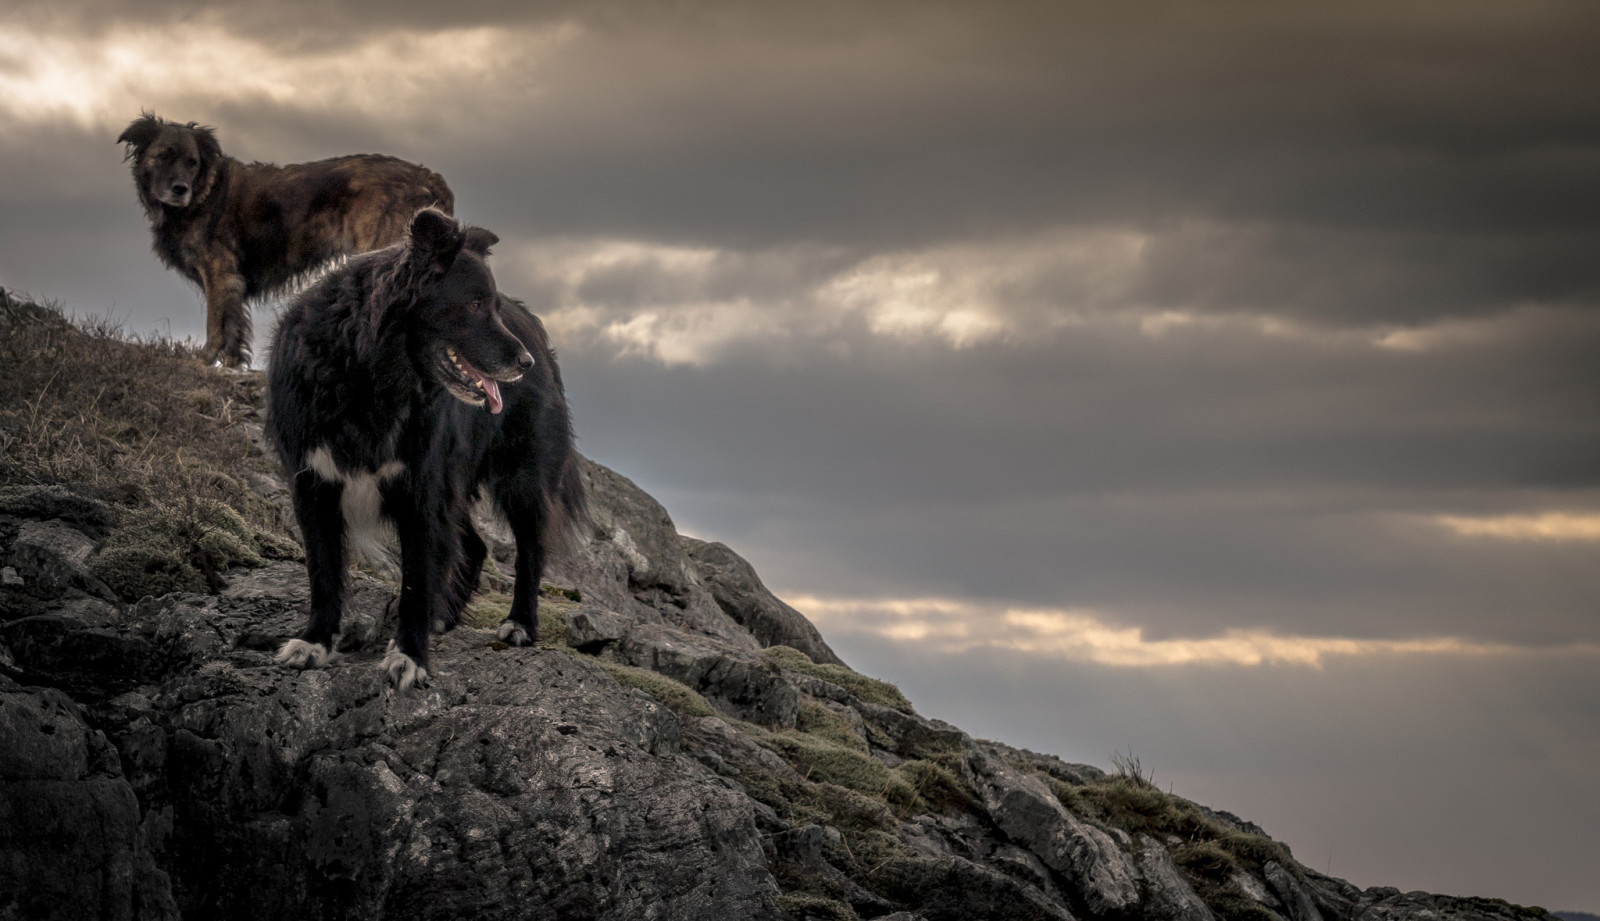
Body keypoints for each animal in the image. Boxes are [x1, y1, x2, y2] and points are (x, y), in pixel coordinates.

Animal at [118, 111, 454, 362]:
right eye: (164, 156)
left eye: (192, 162)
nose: (180, 189)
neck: (204, 192)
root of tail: (428, 175)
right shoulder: (231, 279)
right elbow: (233, 326)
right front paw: (232, 362)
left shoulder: (219, 271)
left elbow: (216, 322)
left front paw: (205, 359)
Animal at [268, 206, 588, 684]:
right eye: (474, 305)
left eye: (492, 306)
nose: (524, 362)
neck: (371, 375)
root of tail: (537, 333)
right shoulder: (313, 480)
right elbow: (323, 570)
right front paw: (313, 643)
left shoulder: (422, 484)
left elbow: (417, 576)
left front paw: (409, 657)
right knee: (473, 546)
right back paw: (445, 617)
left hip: (523, 474)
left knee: (530, 549)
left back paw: (518, 625)